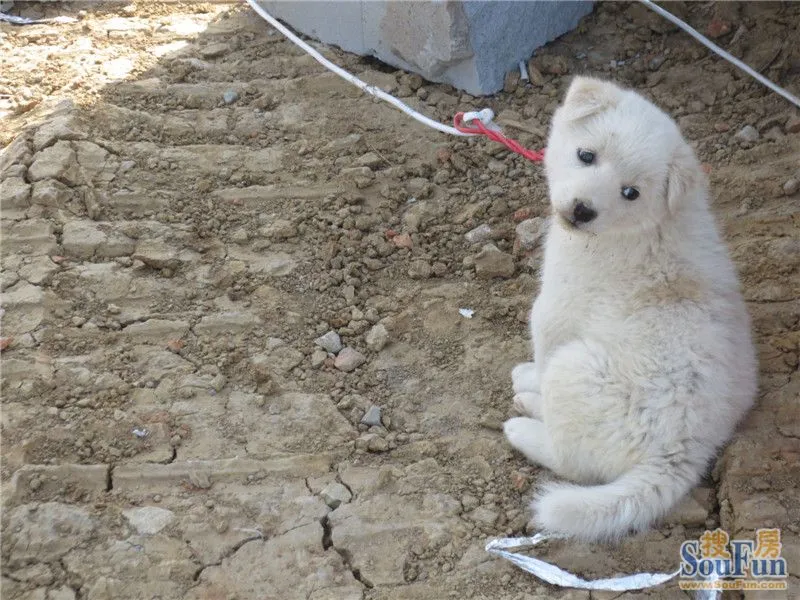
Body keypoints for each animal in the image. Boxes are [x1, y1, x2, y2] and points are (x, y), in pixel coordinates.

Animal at [506, 77, 756, 540]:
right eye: (586, 155)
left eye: (630, 192)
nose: (582, 209)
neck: (642, 226)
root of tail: (682, 452)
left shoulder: (555, 309)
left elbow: (542, 354)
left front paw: (529, 377)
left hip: (577, 371)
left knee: (570, 458)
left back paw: (526, 419)